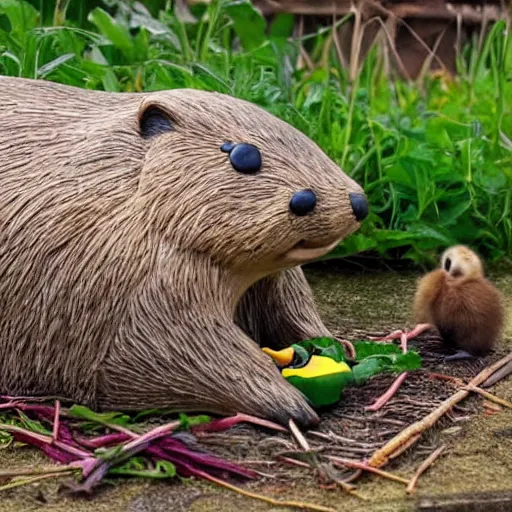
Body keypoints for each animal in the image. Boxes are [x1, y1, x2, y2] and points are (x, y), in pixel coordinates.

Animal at [0, 76, 368, 428]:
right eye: (243, 156)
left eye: (303, 138)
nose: (358, 202)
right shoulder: (140, 293)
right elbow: (179, 353)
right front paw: (293, 405)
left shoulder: (274, 279)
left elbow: (295, 314)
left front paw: (339, 351)